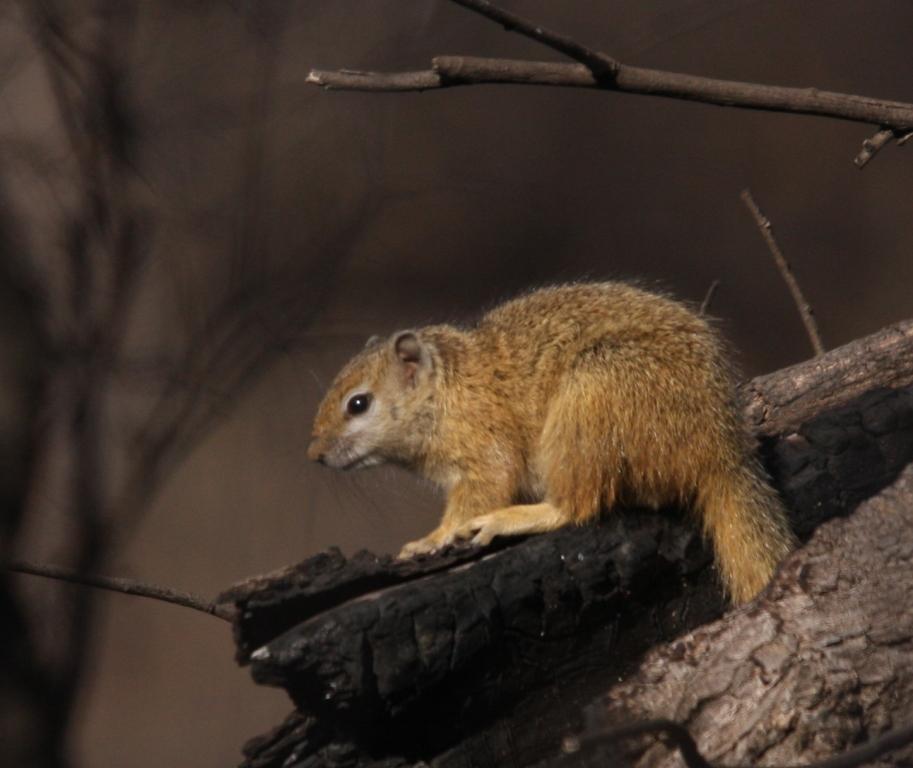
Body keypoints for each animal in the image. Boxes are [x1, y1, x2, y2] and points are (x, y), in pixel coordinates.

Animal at [306, 280, 792, 604]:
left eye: (358, 404)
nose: (314, 454)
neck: (447, 390)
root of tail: (720, 448)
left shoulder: (485, 450)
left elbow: (479, 493)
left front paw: (433, 539)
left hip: (590, 403)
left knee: (577, 506)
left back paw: (513, 518)